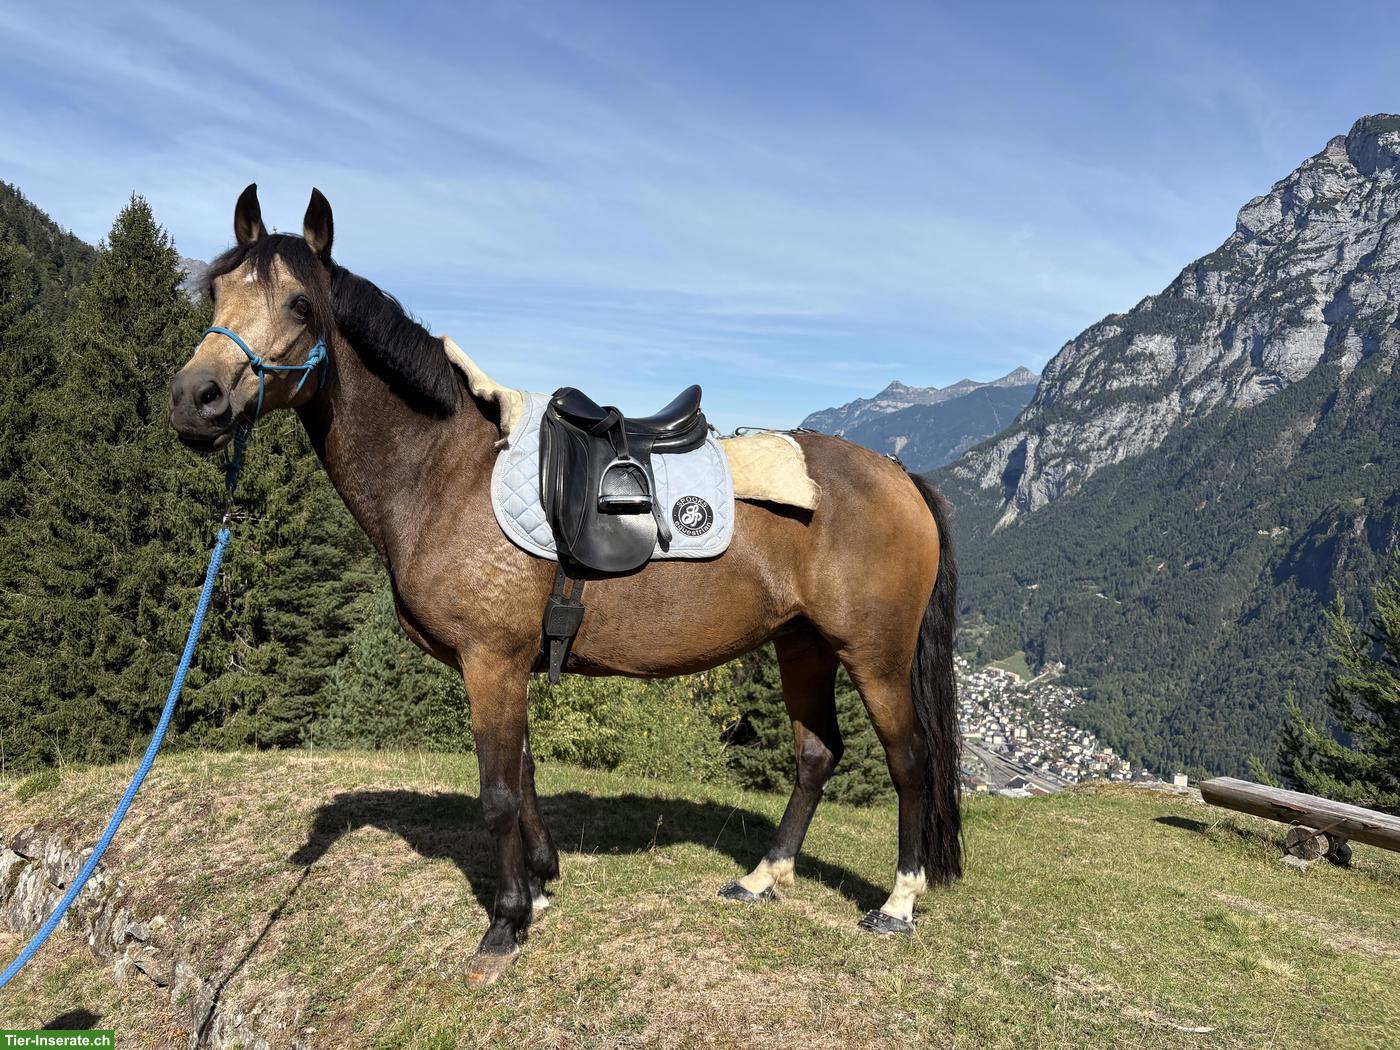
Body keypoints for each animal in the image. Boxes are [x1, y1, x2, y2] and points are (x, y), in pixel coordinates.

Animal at [169, 185, 962, 987]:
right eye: (216, 291)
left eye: (300, 304)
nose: (194, 399)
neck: (444, 471)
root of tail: (897, 473)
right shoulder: (503, 661)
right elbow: (523, 774)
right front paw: (542, 883)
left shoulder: (490, 659)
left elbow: (496, 792)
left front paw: (504, 924)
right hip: (801, 645)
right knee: (816, 756)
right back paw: (762, 877)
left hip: (874, 656)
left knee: (909, 762)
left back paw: (898, 902)